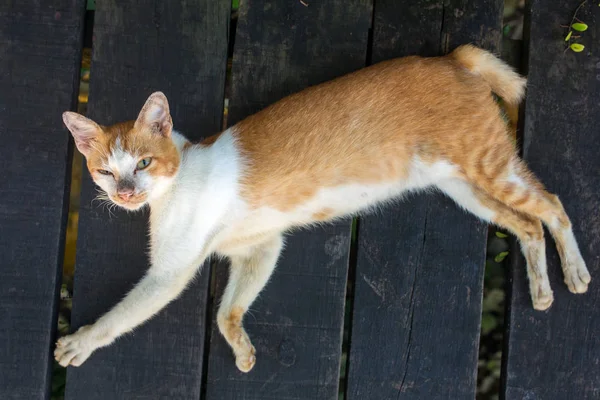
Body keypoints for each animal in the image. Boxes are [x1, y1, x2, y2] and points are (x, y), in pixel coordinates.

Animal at [55, 45, 592, 374]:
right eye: (105, 171)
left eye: (143, 163)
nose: (125, 193)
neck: (178, 177)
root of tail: (450, 56)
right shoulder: (262, 246)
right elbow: (230, 309)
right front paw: (243, 350)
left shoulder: (170, 273)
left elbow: (123, 315)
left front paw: (81, 342)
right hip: (465, 189)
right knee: (528, 225)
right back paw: (542, 290)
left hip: (490, 166)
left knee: (553, 206)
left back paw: (576, 273)